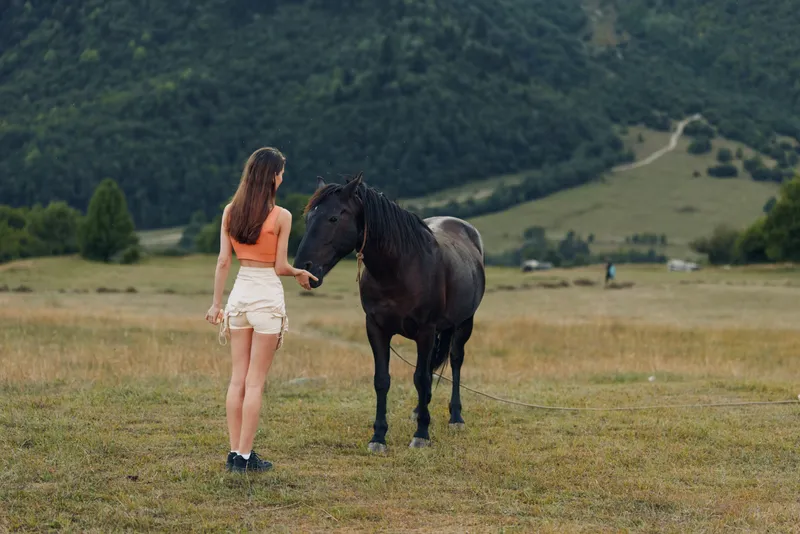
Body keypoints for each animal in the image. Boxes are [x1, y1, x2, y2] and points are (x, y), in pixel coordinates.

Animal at [293, 173, 486, 452]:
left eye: (333, 218)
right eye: (308, 218)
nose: (303, 269)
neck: (400, 269)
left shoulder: (426, 331)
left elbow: (421, 377)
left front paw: (421, 435)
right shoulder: (376, 328)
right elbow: (382, 380)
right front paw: (378, 437)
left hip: (464, 323)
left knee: (456, 360)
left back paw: (456, 417)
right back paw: (419, 410)